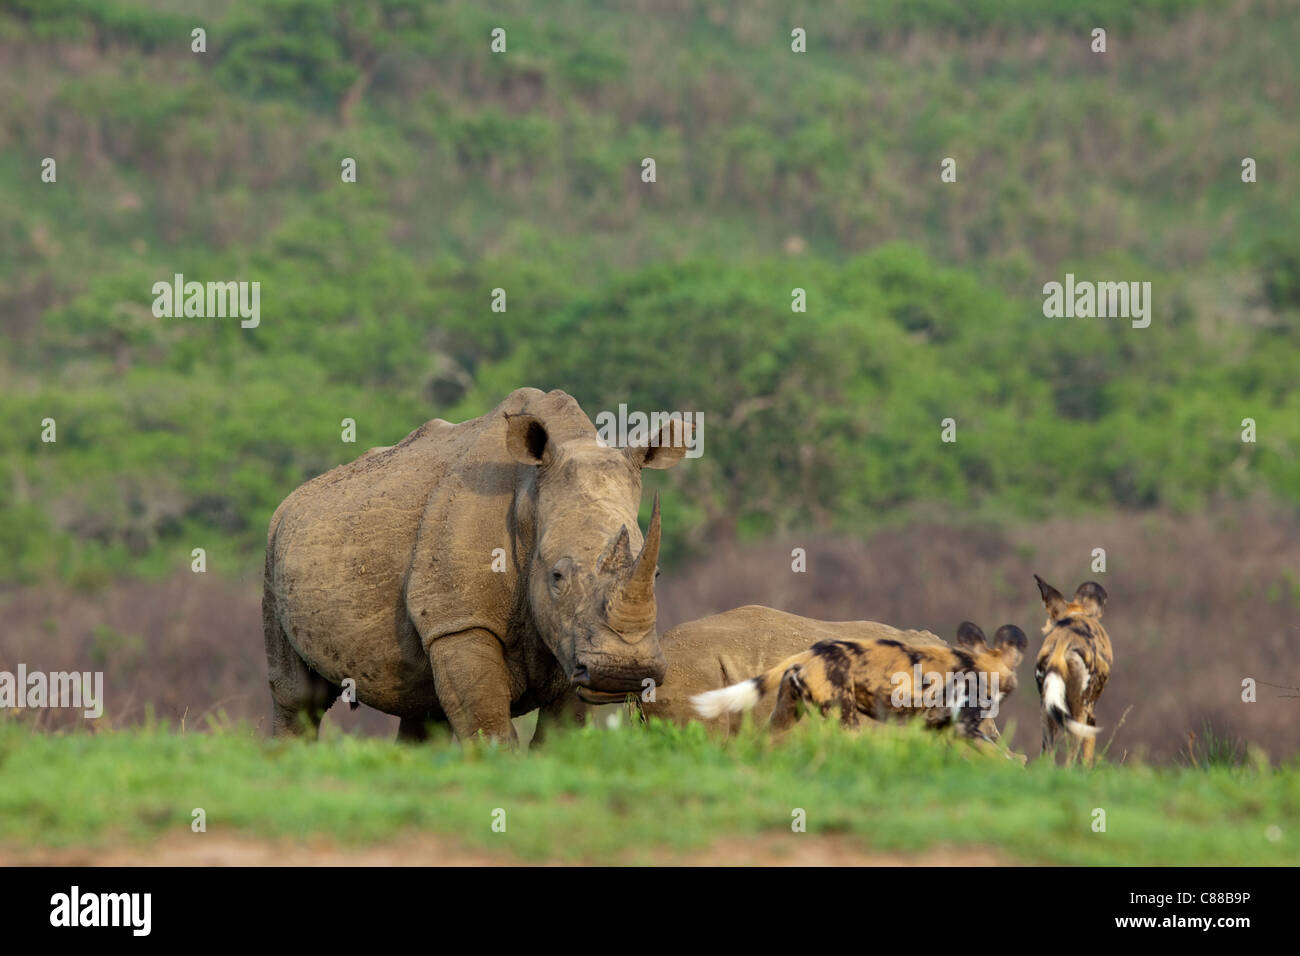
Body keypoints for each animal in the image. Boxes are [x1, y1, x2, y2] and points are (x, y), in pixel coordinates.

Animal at [1029, 572, 1112, 764]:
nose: (1045, 628)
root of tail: (1062, 643)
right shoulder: (1090, 717)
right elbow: (1087, 759)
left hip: (1047, 710)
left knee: (1048, 756)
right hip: (1079, 712)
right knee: (1070, 759)